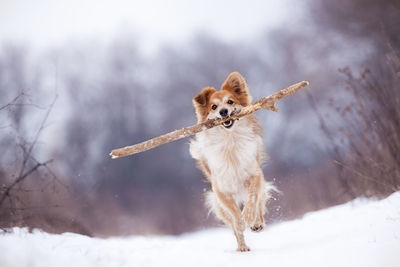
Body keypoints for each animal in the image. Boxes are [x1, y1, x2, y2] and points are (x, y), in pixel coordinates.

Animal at [189, 72, 274, 252]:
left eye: (230, 102)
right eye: (213, 107)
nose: (223, 111)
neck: (230, 140)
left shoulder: (254, 175)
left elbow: (252, 198)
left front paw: (248, 216)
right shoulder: (221, 190)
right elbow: (234, 212)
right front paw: (240, 222)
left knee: (260, 203)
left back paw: (257, 223)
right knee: (234, 227)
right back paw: (242, 247)